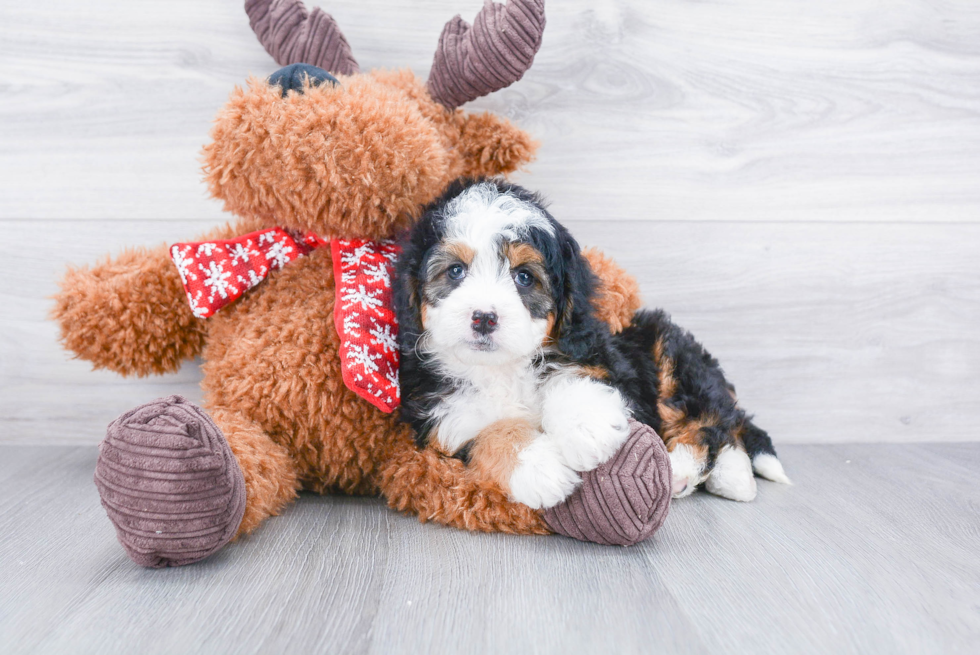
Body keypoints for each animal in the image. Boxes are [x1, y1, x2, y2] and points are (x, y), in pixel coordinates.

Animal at [392, 179, 788, 512]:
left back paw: (694, 471)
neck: (502, 367)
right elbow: (488, 432)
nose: (485, 317)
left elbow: (574, 377)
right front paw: (540, 468)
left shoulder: (598, 355)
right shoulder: (444, 419)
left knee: (712, 417)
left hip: (667, 348)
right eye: (455, 271)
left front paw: (587, 429)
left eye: (524, 277)